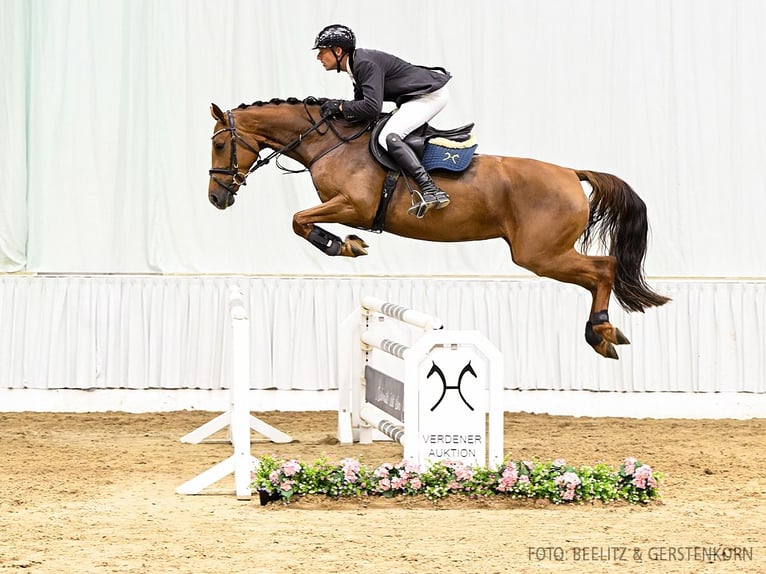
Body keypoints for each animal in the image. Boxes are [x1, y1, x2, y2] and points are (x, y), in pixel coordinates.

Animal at [207, 98, 668, 360]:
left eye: (218, 144)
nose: (216, 198)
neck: (331, 142)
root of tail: (571, 173)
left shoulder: (355, 206)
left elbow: (300, 220)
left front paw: (344, 245)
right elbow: (301, 220)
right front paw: (349, 245)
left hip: (540, 255)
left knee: (604, 268)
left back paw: (603, 331)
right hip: (545, 254)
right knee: (599, 273)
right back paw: (601, 335)